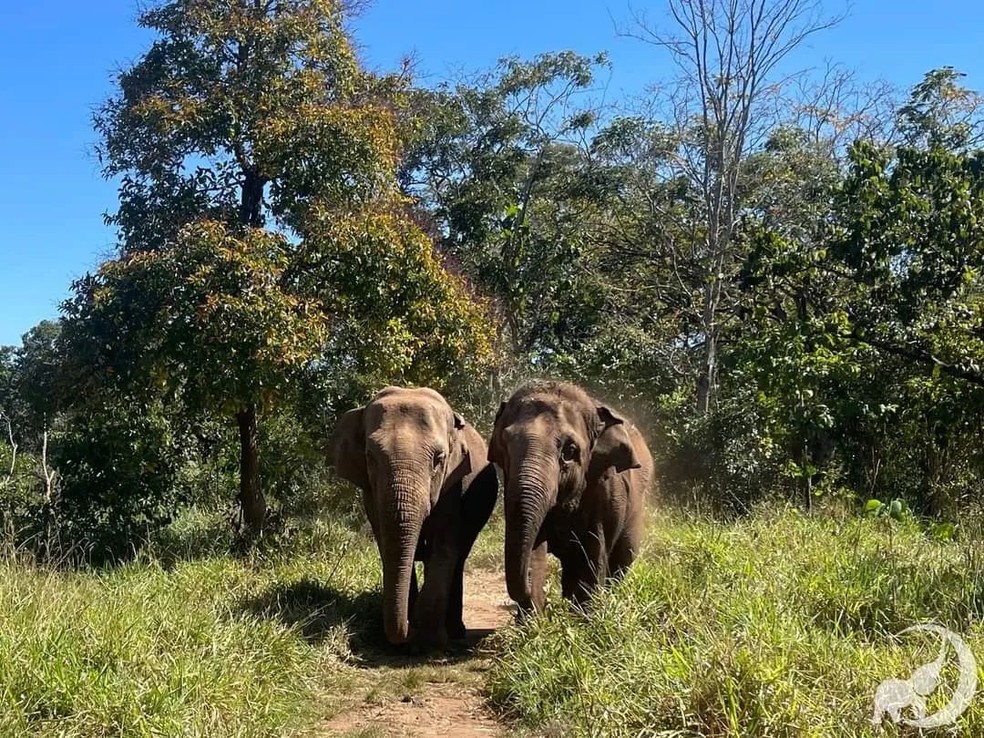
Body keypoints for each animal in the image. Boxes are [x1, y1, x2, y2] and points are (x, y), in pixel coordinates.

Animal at [328, 386, 498, 648]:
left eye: (439, 459)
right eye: (370, 457)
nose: (408, 630)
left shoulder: (451, 484)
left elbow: (443, 546)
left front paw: (428, 642)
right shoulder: (371, 493)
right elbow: (387, 546)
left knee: (458, 556)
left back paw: (455, 632)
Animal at [488, 380, 653, 613]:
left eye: (569, 451)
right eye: (505, 444)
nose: (542, 600)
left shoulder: (605, 490)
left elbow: (593, 552)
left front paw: (586, 615)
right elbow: (535, 549)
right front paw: (534, 618)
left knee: (622, 558)